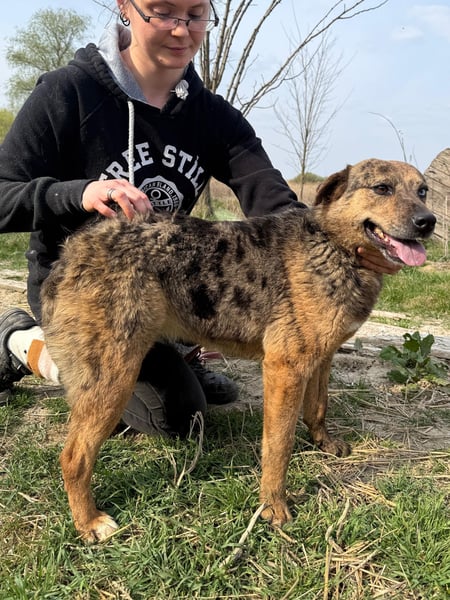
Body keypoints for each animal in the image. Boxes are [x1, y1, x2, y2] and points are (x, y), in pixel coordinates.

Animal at [40, 159, 435, 542]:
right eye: (382, 188)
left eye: (423, 191)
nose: (428, 222)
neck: (333, 247)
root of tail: (74, 249)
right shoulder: (285, 369)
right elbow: (278, 447)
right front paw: (273, 505)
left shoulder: (321, 359)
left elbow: (318, 407)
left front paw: (323, 442)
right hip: (114, 377)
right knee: (74, 457)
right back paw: (89, 522)